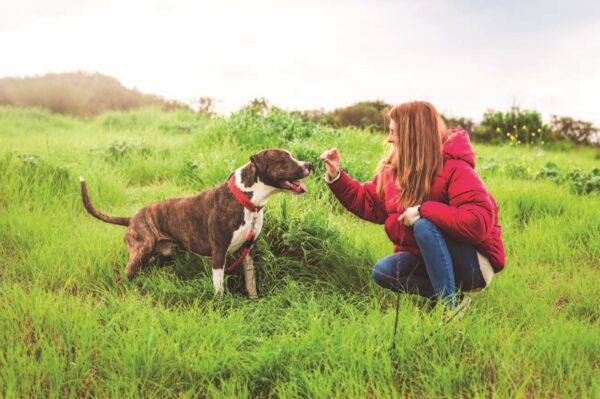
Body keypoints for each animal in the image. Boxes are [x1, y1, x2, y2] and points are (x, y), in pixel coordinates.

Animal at [80, 148, 312, 298]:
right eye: (284, 159)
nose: (310, 164)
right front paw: (221, 305)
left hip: (161, 254)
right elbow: (219, 287)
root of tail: (132, 218)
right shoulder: (219, 252)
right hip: (141, 250)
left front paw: (254, 301)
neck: (247, 201)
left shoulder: (249, 251)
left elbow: (250, 281)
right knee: (126, 275)